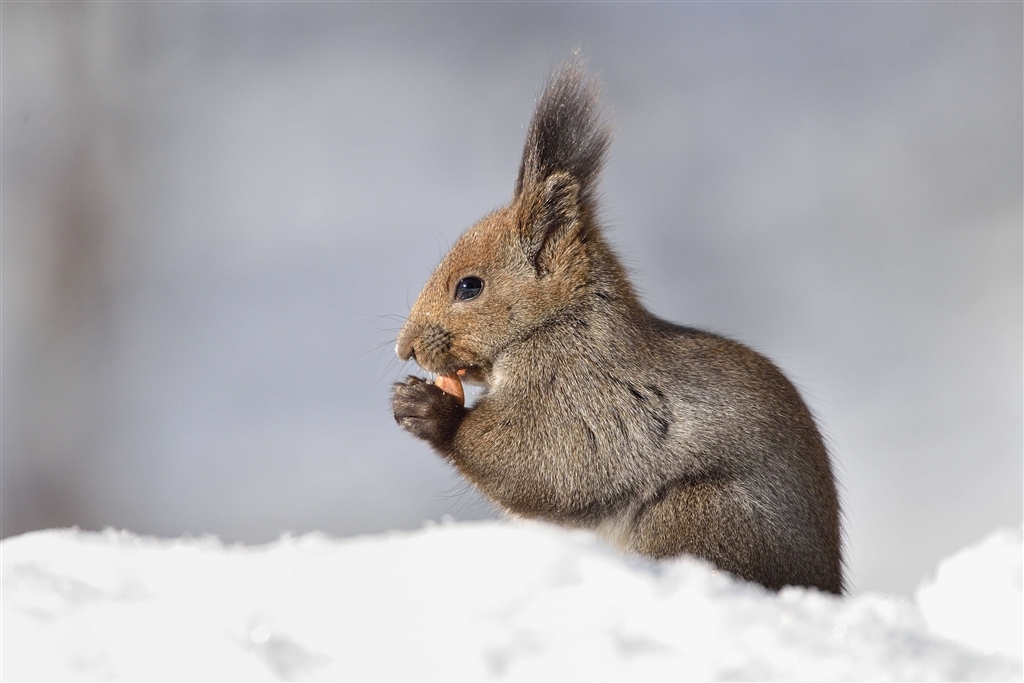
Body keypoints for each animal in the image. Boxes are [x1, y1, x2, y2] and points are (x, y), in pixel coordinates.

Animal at [387, 57, 843, 593]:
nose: (405, 349)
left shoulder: (579, 399)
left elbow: (542, 465)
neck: (561, 322)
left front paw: (428, 409)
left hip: (697, 516)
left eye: (469, 287)